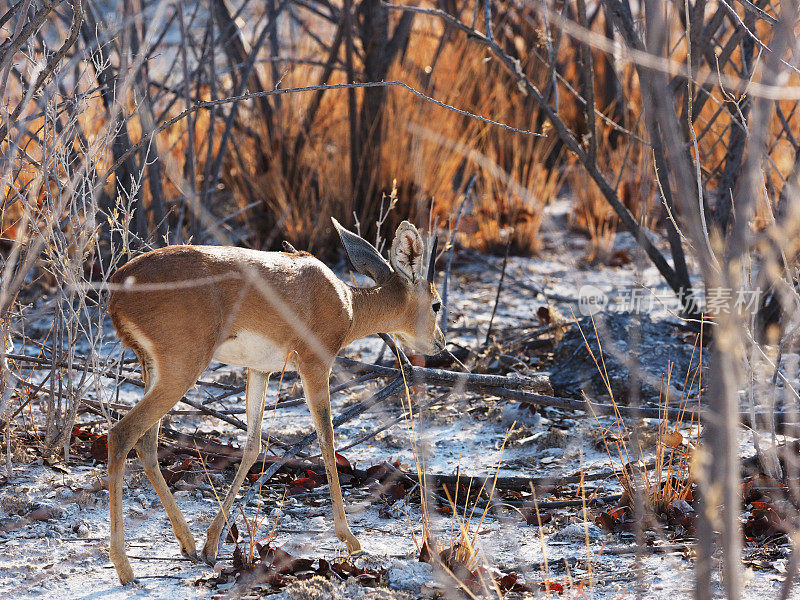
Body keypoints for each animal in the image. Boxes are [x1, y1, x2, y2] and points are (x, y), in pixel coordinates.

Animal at [104, 218, 444, 584]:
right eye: (436, 303)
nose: (440, 343)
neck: (347, 305)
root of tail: (118, 290)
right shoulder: (315, 366)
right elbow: (327, 442)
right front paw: (350, 539)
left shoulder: (259, 370)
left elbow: (253, 448)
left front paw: (212, 545)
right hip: (181, 372)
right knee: (121, 434)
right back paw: (125, 568)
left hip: (156, 371)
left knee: (146, 444)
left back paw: (189, 545)